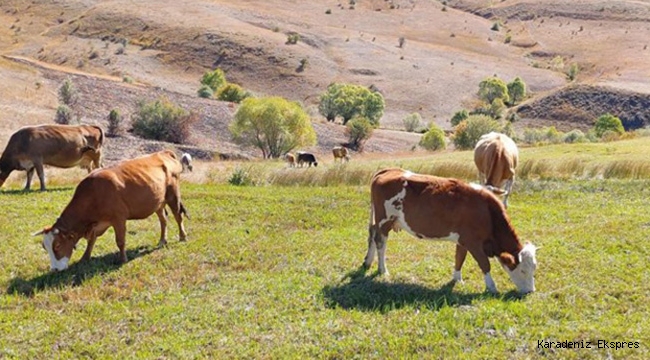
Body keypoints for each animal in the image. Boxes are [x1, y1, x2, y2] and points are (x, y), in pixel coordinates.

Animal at [34, 150, 187, 272]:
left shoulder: (119, 219)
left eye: (57, 245)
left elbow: (120, 241)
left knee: (178, 216)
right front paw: (85, 257)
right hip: (158, 202)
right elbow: (91, 241)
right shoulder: (97, 224)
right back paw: (162, 240)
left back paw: (182, 237)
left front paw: (123, 259)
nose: (54, 269)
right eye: (44, 247)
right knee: (163, 219)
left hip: (173, 195)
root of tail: (163, 152)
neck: (94, 193)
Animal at [362, 167, 536, 294]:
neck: (486, 212)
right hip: (385, 220)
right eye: (523, 271)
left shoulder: (463, 240)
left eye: (534, 269)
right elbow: (485, 264)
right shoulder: (473, 243)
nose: (530, 291)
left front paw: (457, 279)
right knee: (380, 243)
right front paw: (491, 287)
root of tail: (389, 170)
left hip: (379, 220)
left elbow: (459, 258)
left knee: (372, 234)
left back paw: (368, 262)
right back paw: (383, 270)